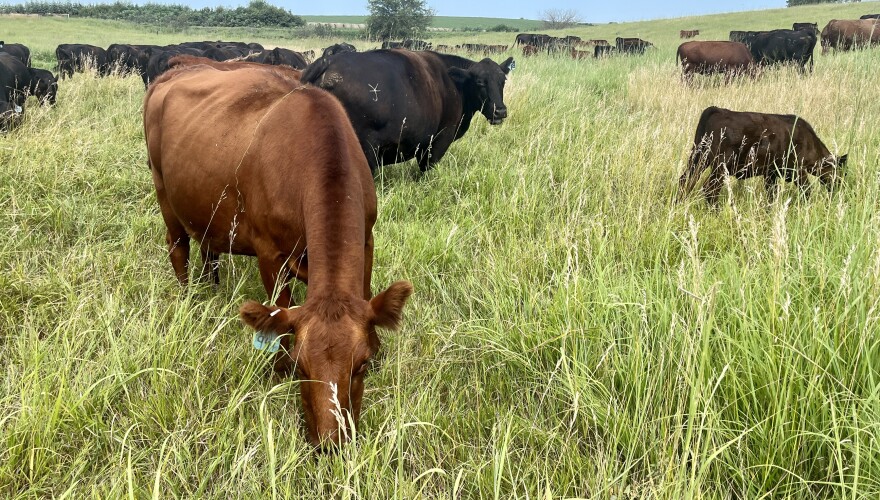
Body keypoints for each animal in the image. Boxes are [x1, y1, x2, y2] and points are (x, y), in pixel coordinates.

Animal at [144, 55, 416, 450]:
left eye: (362, 365)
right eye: (302, 367)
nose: (329, 444)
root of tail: (178, 67)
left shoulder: (367, 238)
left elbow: (365, 292)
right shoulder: (271, 254)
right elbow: (280, 314)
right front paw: (278, 371)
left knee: (208, 249)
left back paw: (211, 289)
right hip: (164, 190)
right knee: (178, 248)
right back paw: (187, 299)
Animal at [300, 49, 512, 172]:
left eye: (503, 80)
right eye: (480, 82)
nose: (500, 111)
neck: (455, 84)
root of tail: (328, 61)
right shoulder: (440, 139)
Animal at [680, 106, 844, 206]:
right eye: (843, 173)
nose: (840, 187)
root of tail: (718, 110)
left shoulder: (771, 173)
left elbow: (772, 194)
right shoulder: (798, 170)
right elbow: (806, 191)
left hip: (698, 158)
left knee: (685, 180)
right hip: (720, 166)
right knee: (710, 189)